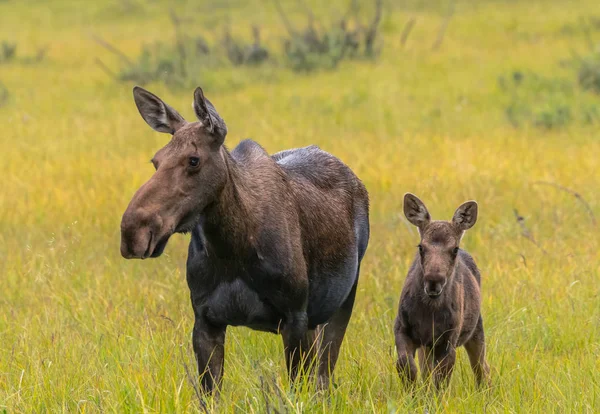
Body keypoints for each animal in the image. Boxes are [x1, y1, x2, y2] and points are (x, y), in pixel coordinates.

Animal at [119, 85, 368, 392]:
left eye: (193, 160)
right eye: (155, 161)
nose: (133, 232)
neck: (231, 249)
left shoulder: (295, 316)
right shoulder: (205, 319)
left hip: (342, 300)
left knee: (324, 376)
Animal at [396, 193, 490, 388]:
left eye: (454, 249)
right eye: (421, 247)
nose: (434, 281)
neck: (428, 314)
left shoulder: (448, 340)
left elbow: (440, 382)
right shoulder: (401, 327)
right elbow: (406, 365)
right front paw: (412, 393)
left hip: (476, 327)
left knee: (482, 368)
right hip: (428, 345)